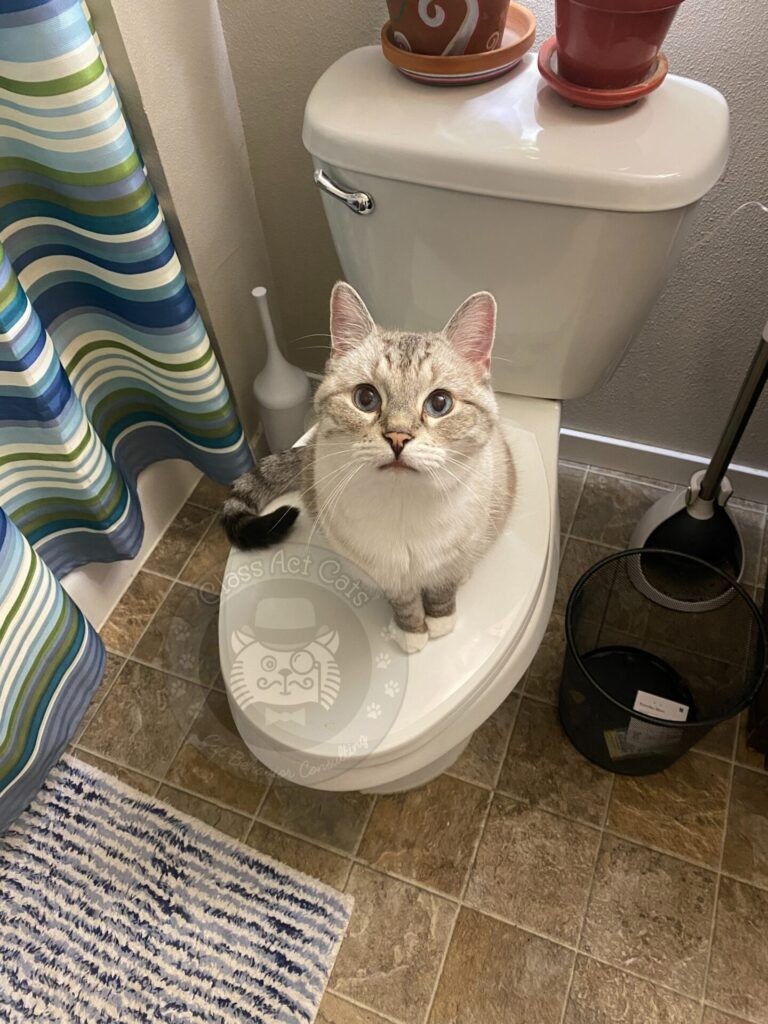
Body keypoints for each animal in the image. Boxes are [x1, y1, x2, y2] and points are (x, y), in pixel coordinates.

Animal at [219, 280, 514, 651]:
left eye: (439, 403)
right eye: (366, 398)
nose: (398, 437)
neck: (404, 506)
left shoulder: (452, 556)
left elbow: (441, 588)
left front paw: (440, 621)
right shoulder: (386, 572)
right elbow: (404, 602)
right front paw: (411, 634)